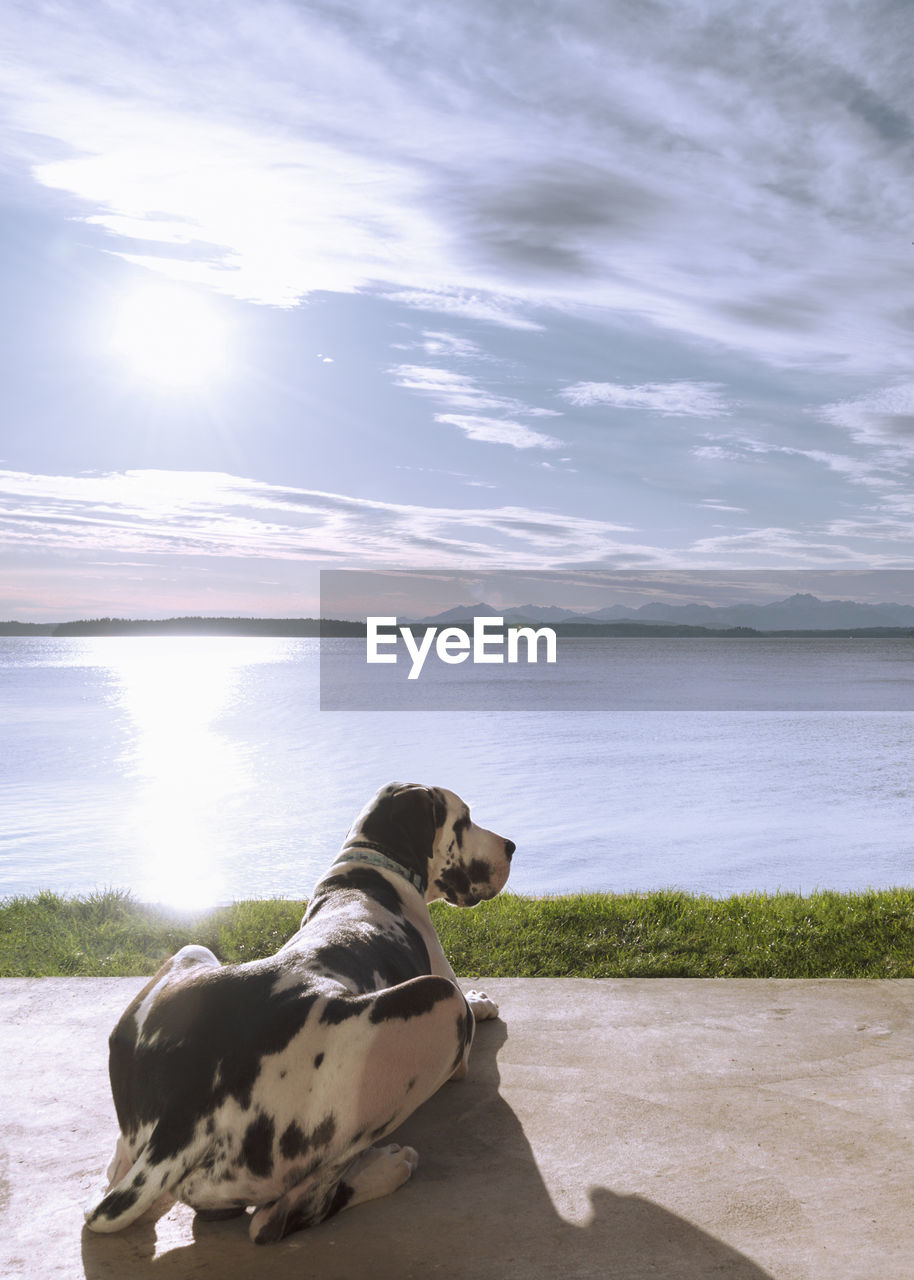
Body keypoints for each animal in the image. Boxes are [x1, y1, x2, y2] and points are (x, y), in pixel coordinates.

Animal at [83, 783, 512, 1244]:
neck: (369, 867)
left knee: (121, 1168)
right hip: (438, 1006)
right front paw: (483, 1000)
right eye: (463, 820)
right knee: (282, 1216)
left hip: (190, 954)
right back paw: (382, 1170)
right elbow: (472, 1007)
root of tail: (183, 1114)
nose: (510, 846)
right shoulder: (455, 1019)